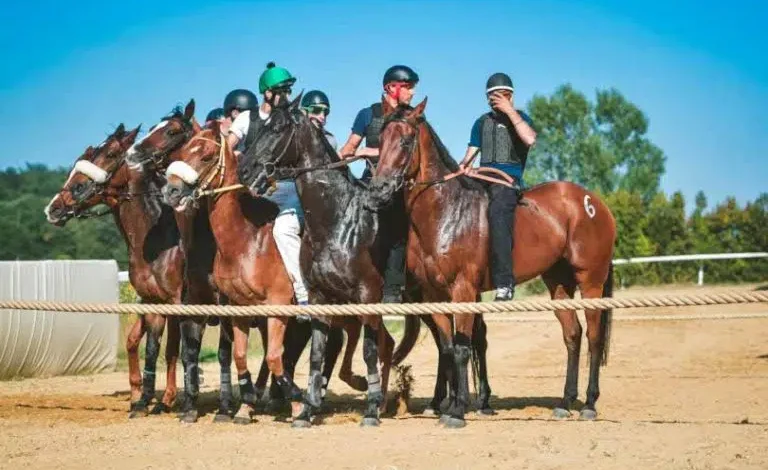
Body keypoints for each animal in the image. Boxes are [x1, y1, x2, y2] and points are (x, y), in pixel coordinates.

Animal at [45, 123, 183, 416]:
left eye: (109, 154)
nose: (54, 207)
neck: (159, 241)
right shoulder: (151, 301)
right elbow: (144, 345)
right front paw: (140, 398)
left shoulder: (176, 301)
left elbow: (171, 349)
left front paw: (166, 399)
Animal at [162, 123, 312, 424]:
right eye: (182, 152)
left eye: (206, 156)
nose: (171, 190)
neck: (246, 240)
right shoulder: (238, 307)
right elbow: (241, 356)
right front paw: (245, 404)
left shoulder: (278, 305)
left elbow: (274, 357)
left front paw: (298, 403)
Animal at [237, 92, 420, 426]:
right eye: (263, 125)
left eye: (278, 128)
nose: (244, 170)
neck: (337, 221)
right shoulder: (320, 298)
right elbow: (317, 355)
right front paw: (307, 409)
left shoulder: (367, 296)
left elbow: (368, 351)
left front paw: (369, 409)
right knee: (389, 343)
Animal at [368, 100, 616, 430]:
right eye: (381, 140)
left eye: (406, 142)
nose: (378, 189)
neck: (447, 211)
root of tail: (594, 202)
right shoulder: (435, 295)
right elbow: (448, 348)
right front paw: (450, 406)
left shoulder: (463, 291)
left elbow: (462, 349)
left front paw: (458, 410)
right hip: (558, 283)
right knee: (572, 335)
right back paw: (565, 403)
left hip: (591, 282)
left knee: (593, 337)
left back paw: (589, 403)